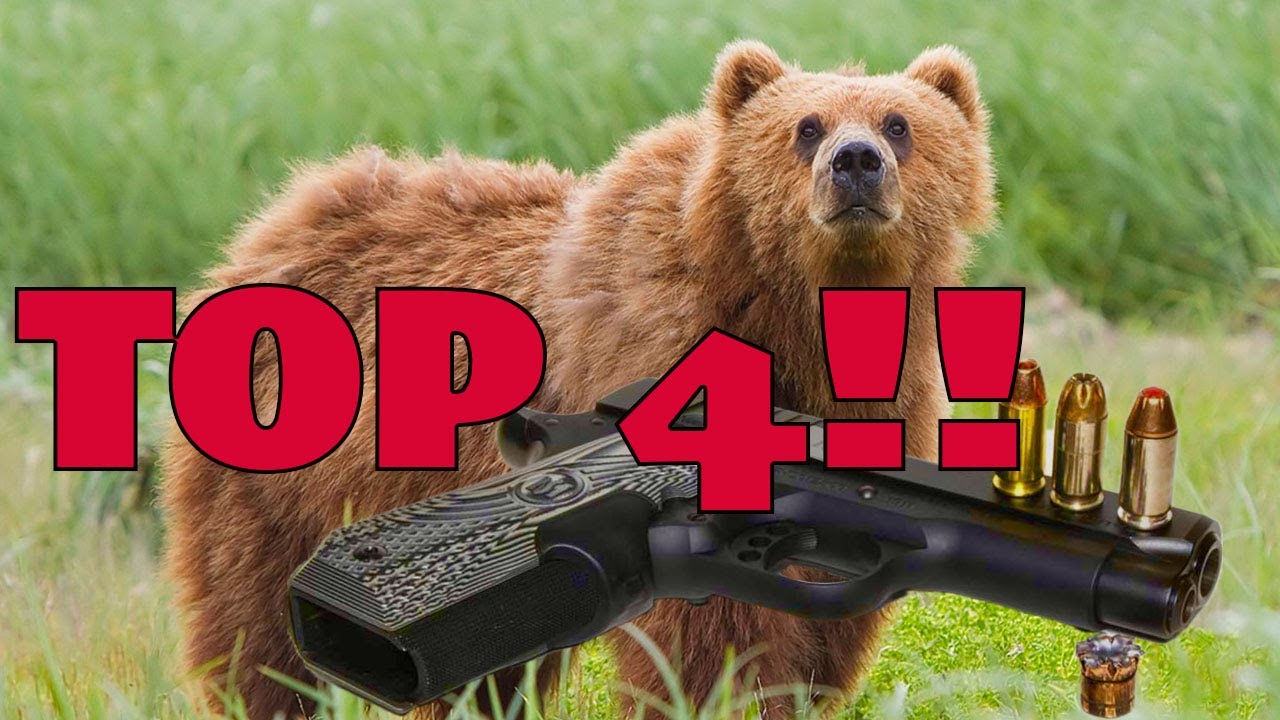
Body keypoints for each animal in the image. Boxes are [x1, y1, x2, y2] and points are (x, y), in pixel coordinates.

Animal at [160, 40, 994, 719]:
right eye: (807, 127)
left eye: (898, 123)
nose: (856, 164)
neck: (792, 324)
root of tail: (277, 218)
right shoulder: (657, 367)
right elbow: (713, 635)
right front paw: (725, 694)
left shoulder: (885, 405)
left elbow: (828, 631)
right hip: (280, 475)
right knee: (256, 628)